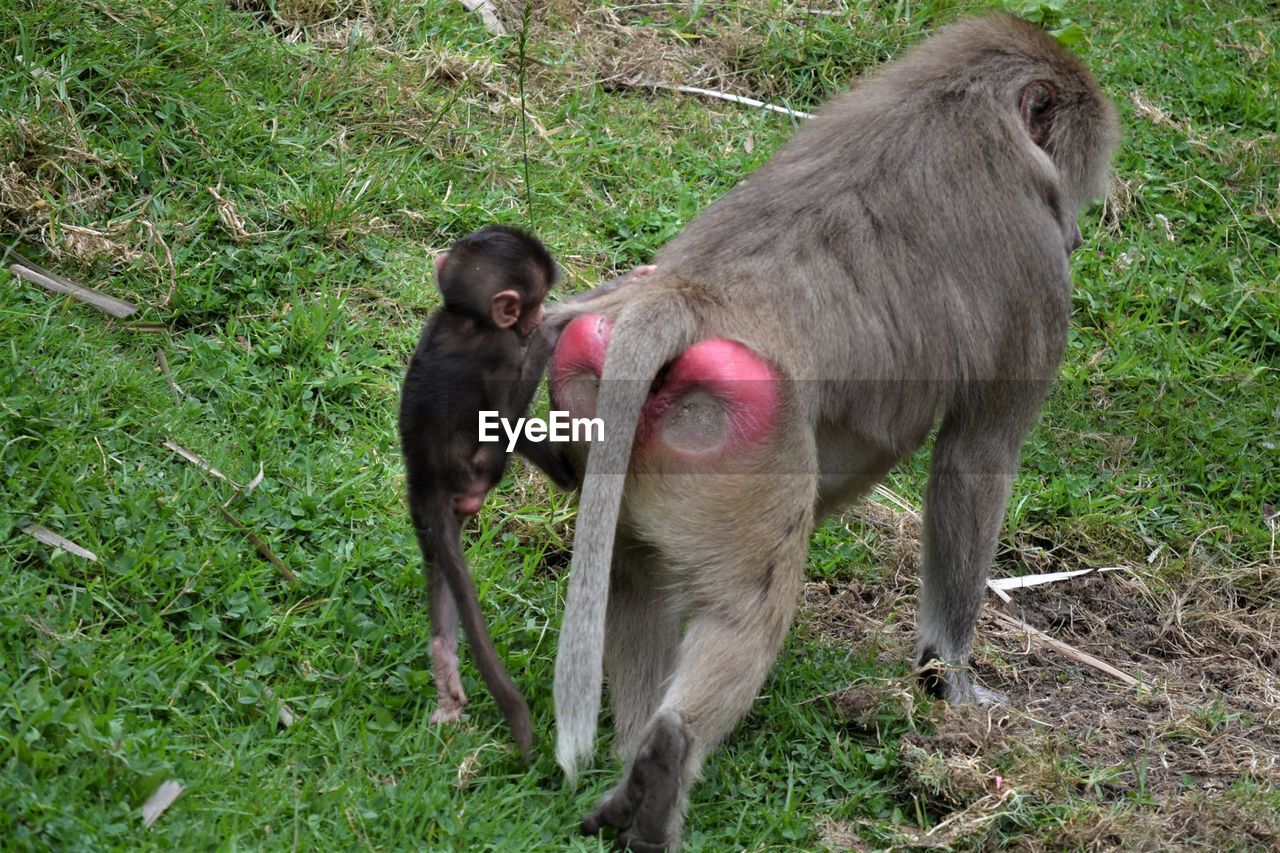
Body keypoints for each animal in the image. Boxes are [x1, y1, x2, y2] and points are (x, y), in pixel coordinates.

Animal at [399, 222, 576, 753]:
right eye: (535, 302)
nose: (536, 317)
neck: (466, 319)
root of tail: (430, 481)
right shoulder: (500, 351)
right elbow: (507, 409)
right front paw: (554, 327)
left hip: (425, 514)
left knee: (441, 569)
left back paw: (444, 662)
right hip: (479, 468)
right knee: (514, 428)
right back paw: (570, 474)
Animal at [545, 11, 1116, 845]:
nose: (1075, 233)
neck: (963, 105)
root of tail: (688, 296)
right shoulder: (1039, 278)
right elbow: (974, 460)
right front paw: (953, 677)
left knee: (637, 574)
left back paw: (631, 770)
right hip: (751, 440)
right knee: (748, 615)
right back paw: (662, 765)